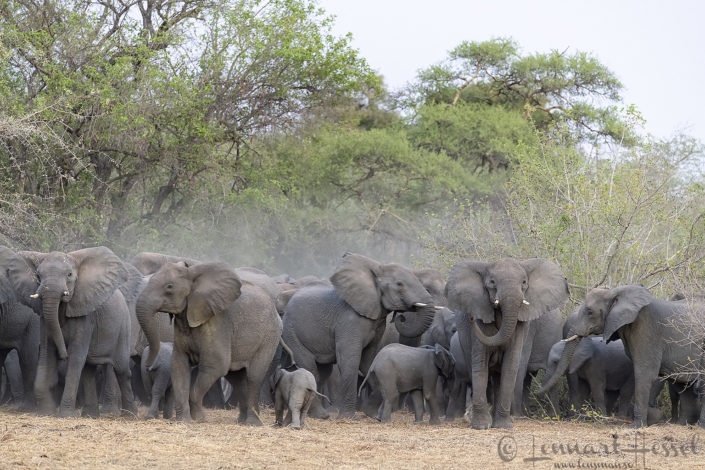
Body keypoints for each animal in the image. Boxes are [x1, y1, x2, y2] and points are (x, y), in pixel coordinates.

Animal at [6, 246, 137, 418]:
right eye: (38, 276)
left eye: (69, 275)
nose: (63, 354)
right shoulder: (44, 320)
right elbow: (47, 353)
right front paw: (46, 412)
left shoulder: (85, 316)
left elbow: (76, 357)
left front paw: (67, 415)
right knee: (88, 370)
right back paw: (90, 415)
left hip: (124, 326)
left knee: (121, 369)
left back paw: (130, 415)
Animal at [136, 261, 282, 424]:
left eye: (169, 287)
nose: (147, 365)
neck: (192, 274)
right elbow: (179, 364)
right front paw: (184, 421)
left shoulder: (218, 322)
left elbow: (215, 365)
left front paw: (199, 419)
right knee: (236, 377)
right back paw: (241, 421)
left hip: (269, 336)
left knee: (254, 376)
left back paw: (252, 423)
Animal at [281, 253, 437, 419]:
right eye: (399, 284)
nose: (401, 317)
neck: (377, 268)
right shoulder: (348, 320)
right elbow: (350, 360)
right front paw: (348, 417)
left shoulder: (378, 323)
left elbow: (369, 360)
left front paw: (372, 414)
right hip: (292, 333)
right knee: (309, 367)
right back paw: (321, 415)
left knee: (323, 372)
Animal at [446, 257, 569, 429]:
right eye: (492, 282)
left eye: (524, 282)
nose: (471, 318)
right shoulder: (482, 313)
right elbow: (481, 363)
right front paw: (481, 426)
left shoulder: (525, 324)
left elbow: (512, 364)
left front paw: (505, 425)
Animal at [544, 284, 705, 427]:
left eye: (589, 311)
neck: (616, 292)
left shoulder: (646, 328)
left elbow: (644, 373)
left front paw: (635, 426)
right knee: (683, 385)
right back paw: (683, 424)